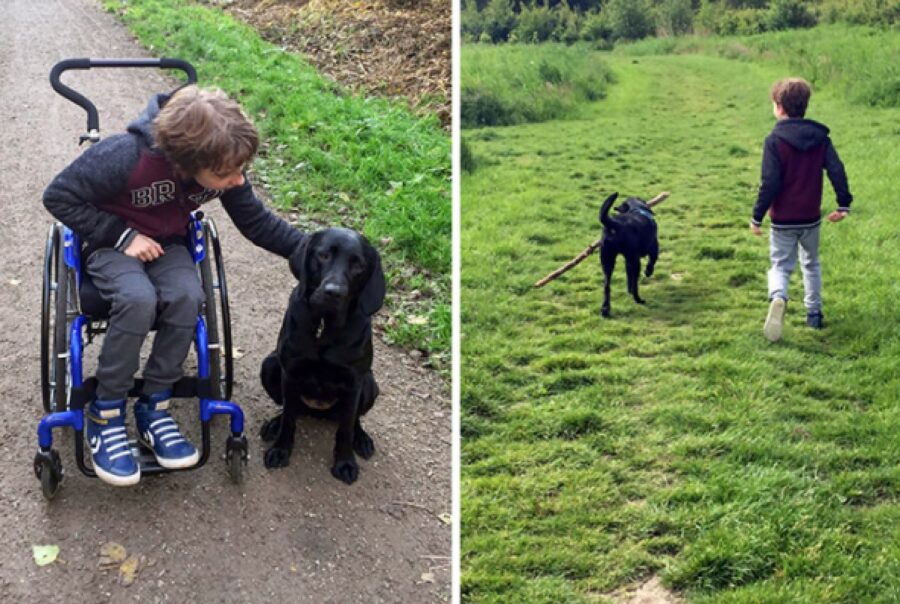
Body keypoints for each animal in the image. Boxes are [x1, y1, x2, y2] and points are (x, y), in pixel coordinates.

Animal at [260, 228, 386, 486]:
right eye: (324, 255)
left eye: (358, 265)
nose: (333, 293)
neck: (324, 326)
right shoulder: (290, 372)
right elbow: (288, 419)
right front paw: (280, 449)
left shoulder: (354, 382)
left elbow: (345, 429)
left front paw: (345, 463)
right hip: (270, 365)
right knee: (290, 409)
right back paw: (274, 424)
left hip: (370, 385)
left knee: (354, 419)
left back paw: (362, 439)